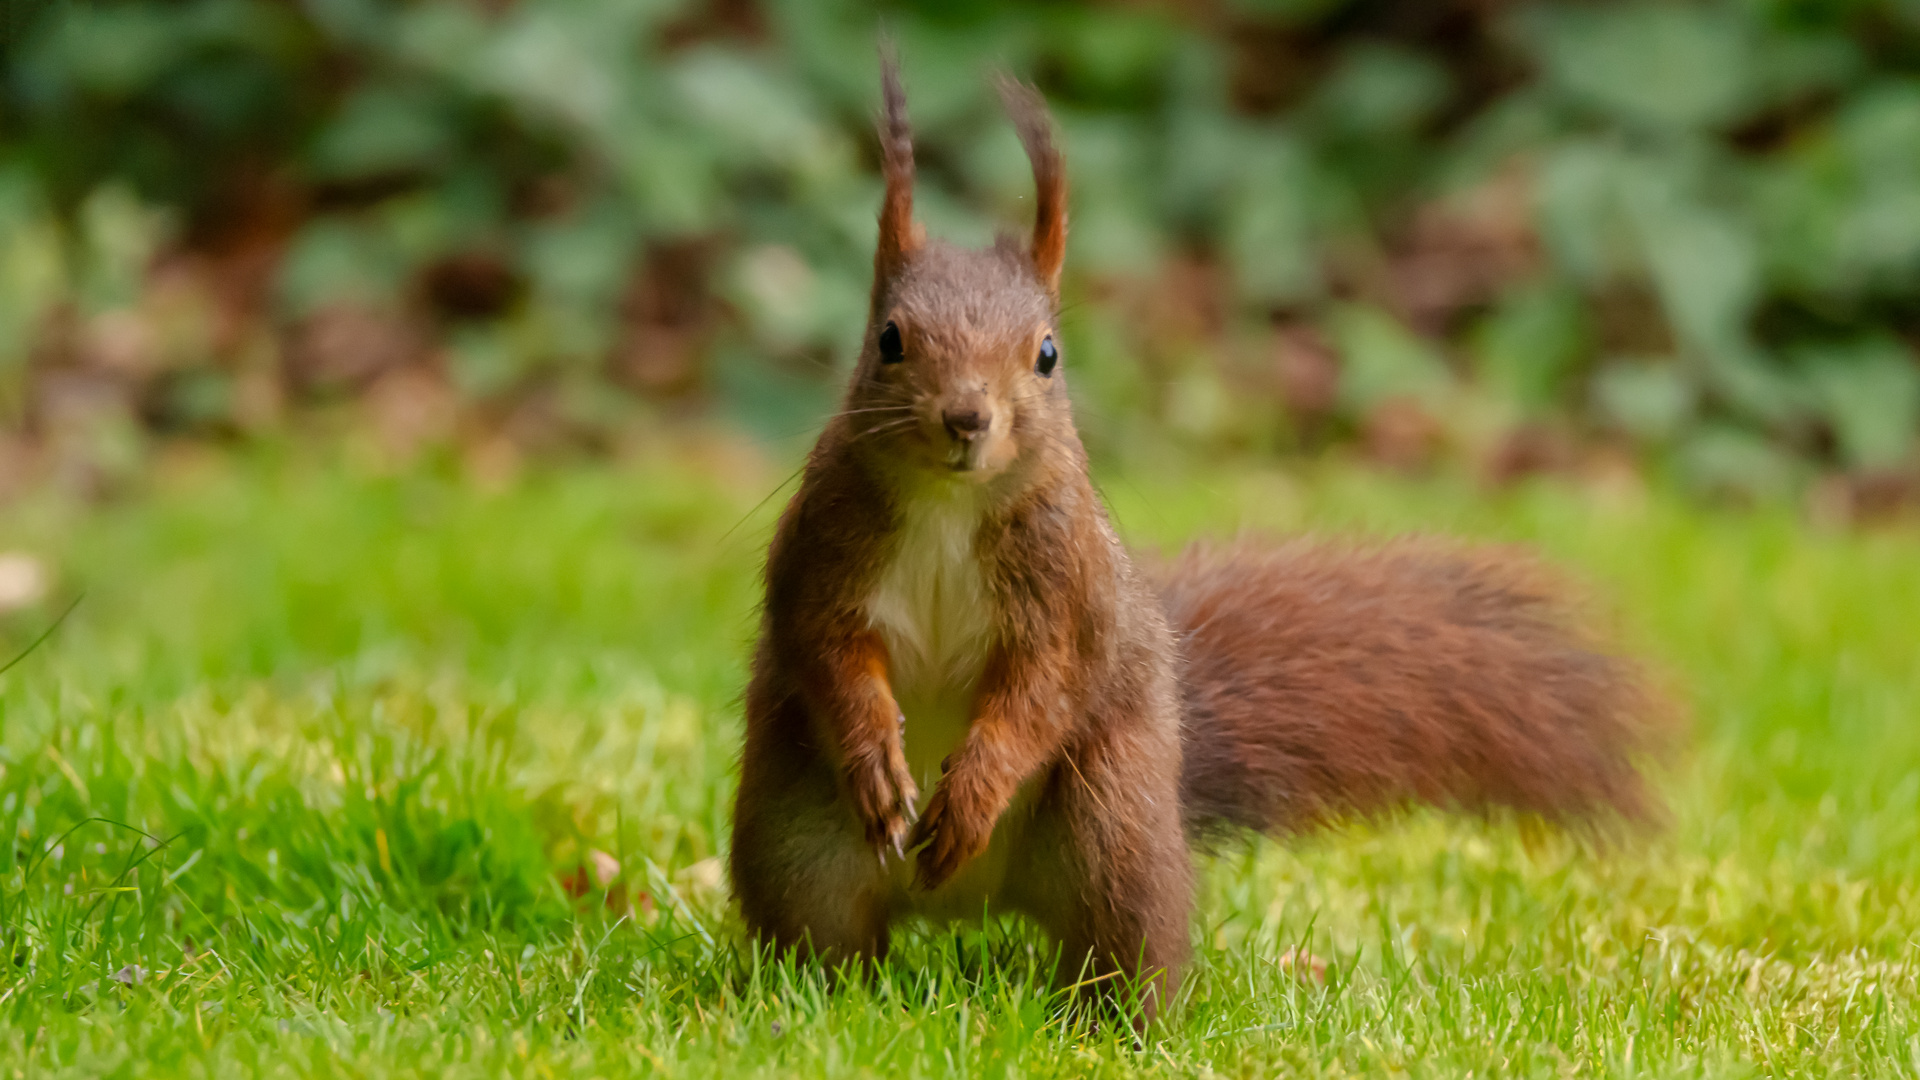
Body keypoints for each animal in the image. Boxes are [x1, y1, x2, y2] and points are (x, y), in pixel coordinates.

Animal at [725, 58, 1674, 1014]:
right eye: (889, 340)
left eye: (1048, 355)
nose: (967, 418)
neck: (951, 504)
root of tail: (967, 903)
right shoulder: (822, 554)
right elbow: (827, 649)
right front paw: (877, 761)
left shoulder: (1069, 591)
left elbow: (1046, 687)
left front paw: (975, 789)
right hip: (797, 840)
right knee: (827, 936)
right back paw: (812, 1003)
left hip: (1112, 826)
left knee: (1126, 945)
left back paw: (1104, 1019)